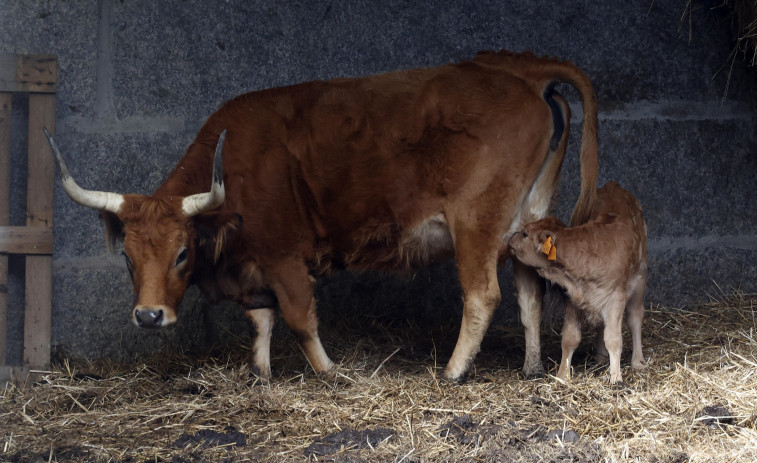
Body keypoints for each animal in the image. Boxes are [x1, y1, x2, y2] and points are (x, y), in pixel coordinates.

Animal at [45, 50, 596, 384]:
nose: (148, 315)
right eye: (128, 259)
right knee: (529, 294)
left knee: (483, 295)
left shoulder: (284, 257)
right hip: (526, 222)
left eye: (183, 253)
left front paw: (330, 371)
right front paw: (261, 374)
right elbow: (261, 320)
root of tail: (514, 68)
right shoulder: (254, 268)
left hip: (476, 224)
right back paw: (530, 367)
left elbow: (299, 318)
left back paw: (453, 371)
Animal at [504, 181, 648, 384]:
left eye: (525, 233)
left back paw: (637, 361)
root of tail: (614, 186)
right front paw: (562, 376)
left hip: (640, 278)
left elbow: (614, 339)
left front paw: (616, 378)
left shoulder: (615, 299)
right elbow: (570, 338)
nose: (510, 238)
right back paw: (600, 358)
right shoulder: (571, 298)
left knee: (635, 317)